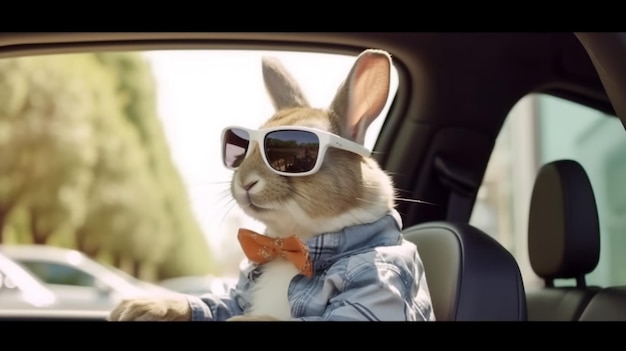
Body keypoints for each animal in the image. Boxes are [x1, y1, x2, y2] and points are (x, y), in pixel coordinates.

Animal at [108, 48, 434, 324]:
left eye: (294, 154)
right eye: (241, 149)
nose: (244, 182)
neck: (294, 242)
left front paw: (241, 321)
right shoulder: (240, 290)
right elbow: (218, 303)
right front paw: (141, 307)